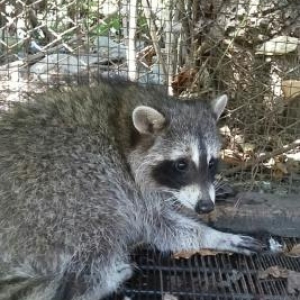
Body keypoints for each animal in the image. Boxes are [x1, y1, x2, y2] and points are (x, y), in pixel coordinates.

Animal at [0, 78, 264, 298]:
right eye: (181, 164)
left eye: (211, 163)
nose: (205, 206)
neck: (123, 125)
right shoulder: (125, 183)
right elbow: (160, 226)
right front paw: (214, 236)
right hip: (61, 198)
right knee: (100, 232)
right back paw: (99, 283)